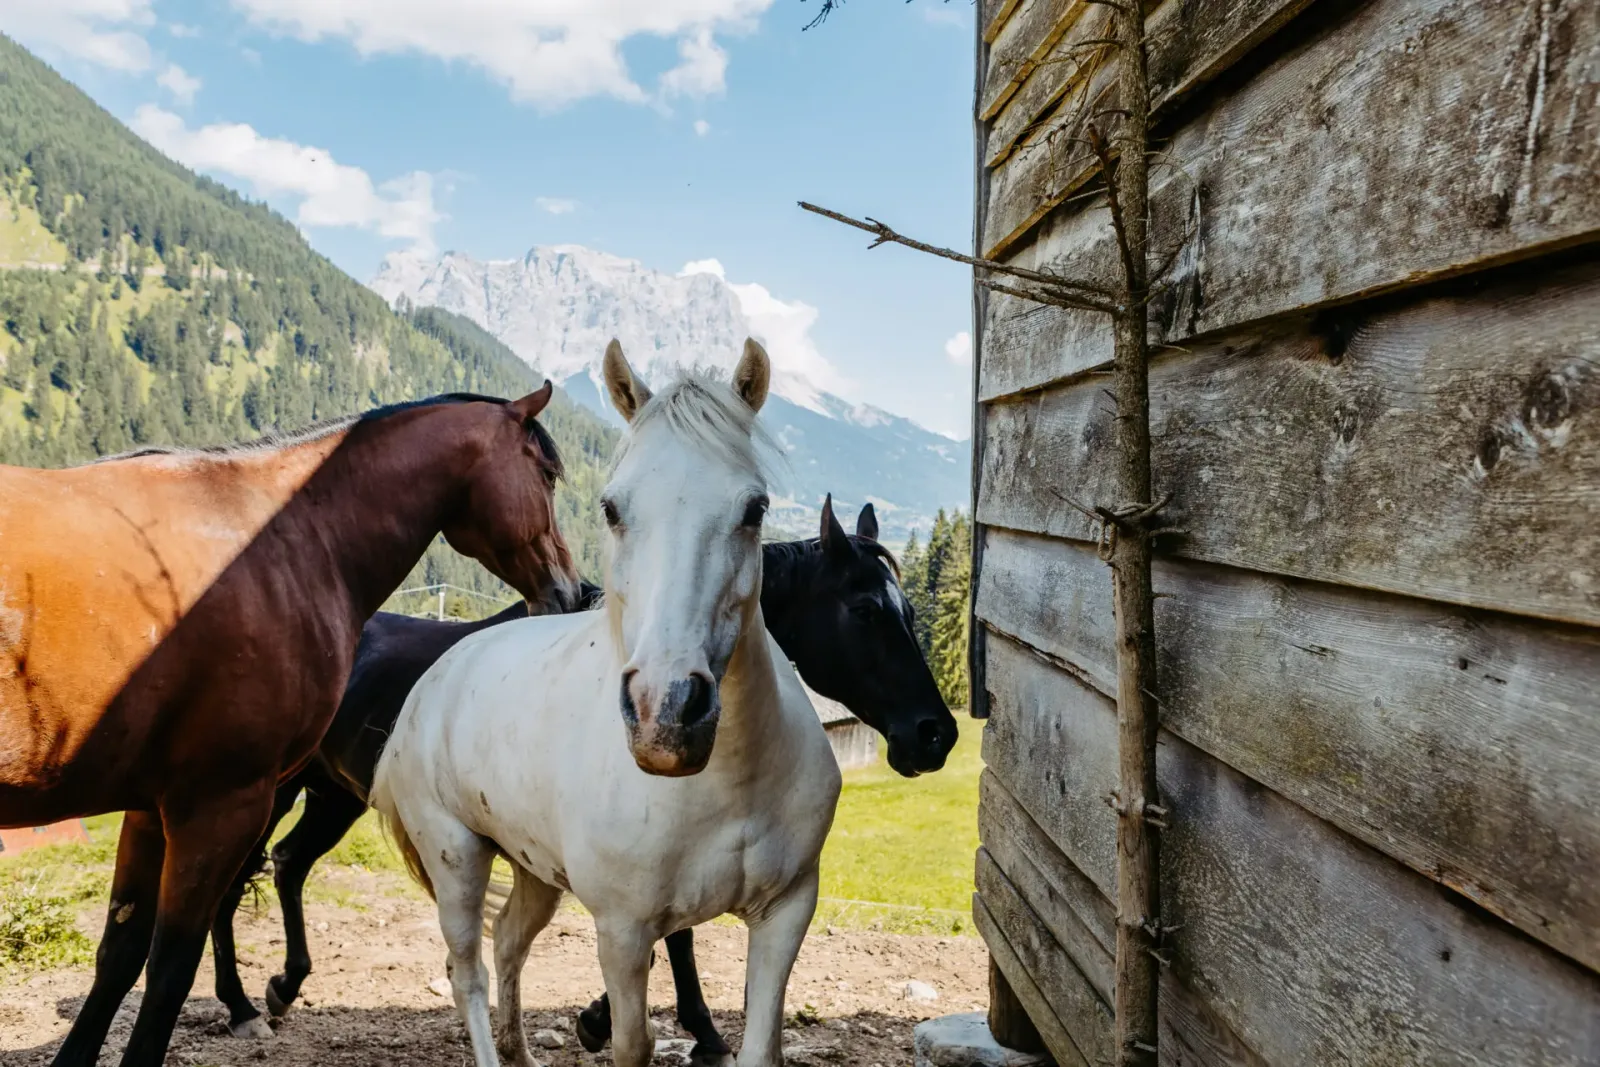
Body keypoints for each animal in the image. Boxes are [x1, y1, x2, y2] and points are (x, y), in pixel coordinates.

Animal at [0, 385, 579, 1067]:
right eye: (547, 474)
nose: (567, 591)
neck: (284, 537)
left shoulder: (150, 810)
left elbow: (119, 955)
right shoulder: (219, 802)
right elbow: (169, 969)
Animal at [207, 497, 957, 1062]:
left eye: (908, 611)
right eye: (864, 609)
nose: (936, 732)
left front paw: (612, 1018)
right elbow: (674, 940)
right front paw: (673, 1025)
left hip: (332, 796)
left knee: (288, 862)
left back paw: (283, 985)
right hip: (279, 793)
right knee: (236, 877)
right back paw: (241, 1002)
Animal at [372, 338, 841, 1067]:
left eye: (755, 509)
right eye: (613, 509)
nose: (666, 712)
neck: (723, 784)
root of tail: (436, 676)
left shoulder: (786, 913)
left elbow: (761, 1046)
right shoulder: (623, 932)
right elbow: (630, 1042)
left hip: (535, 870)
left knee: (508, 942)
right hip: (456, 856)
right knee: (467, 970)